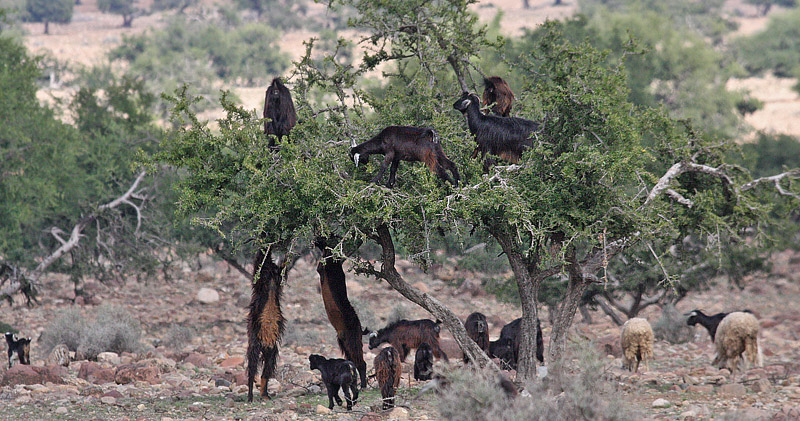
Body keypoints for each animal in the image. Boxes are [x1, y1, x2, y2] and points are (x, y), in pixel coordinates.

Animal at [245, 248, 286, 402]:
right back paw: (251, 395)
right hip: (256, 345)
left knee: (267, 369)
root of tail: (265, 343)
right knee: (252, 368)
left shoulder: (277, 274)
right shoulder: (262, 277)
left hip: (271, 350)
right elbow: (259, 262)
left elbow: (283, 268)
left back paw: (265, 393)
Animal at [316, 238, 368, 388]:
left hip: (352, 341)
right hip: (344, 343)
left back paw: (363, 386)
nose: (315, 241)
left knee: (361, 363)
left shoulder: (326, 265)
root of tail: (360, 328)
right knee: (354, 363)